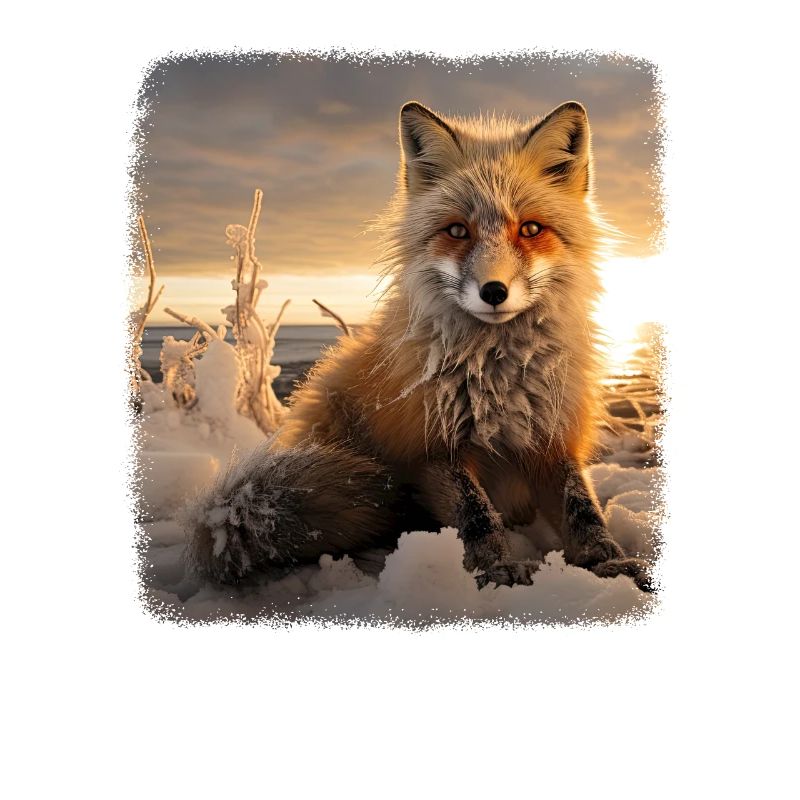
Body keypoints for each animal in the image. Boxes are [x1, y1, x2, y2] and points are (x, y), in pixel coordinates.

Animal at [185, 100, 652, 592]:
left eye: (530, 229)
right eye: (458, 231)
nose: (493, 291)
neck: (499, 378)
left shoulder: (553, 437)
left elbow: (583, 510)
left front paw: (610, 563)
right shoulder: (431, 447)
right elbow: (476, 515)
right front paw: (495, 570)